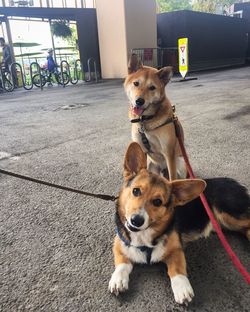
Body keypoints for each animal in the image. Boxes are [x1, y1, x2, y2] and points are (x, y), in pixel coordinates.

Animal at [109, 143, 250, 304]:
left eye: (158, 202)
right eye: (136, 191)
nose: (136, 220)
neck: (143, 235)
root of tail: (236, 183)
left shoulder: (176, 249)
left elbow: (176, 270)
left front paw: (182, 289)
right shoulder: (119, 245)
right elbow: (122, 264)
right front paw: (118, 280)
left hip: (228, 214)